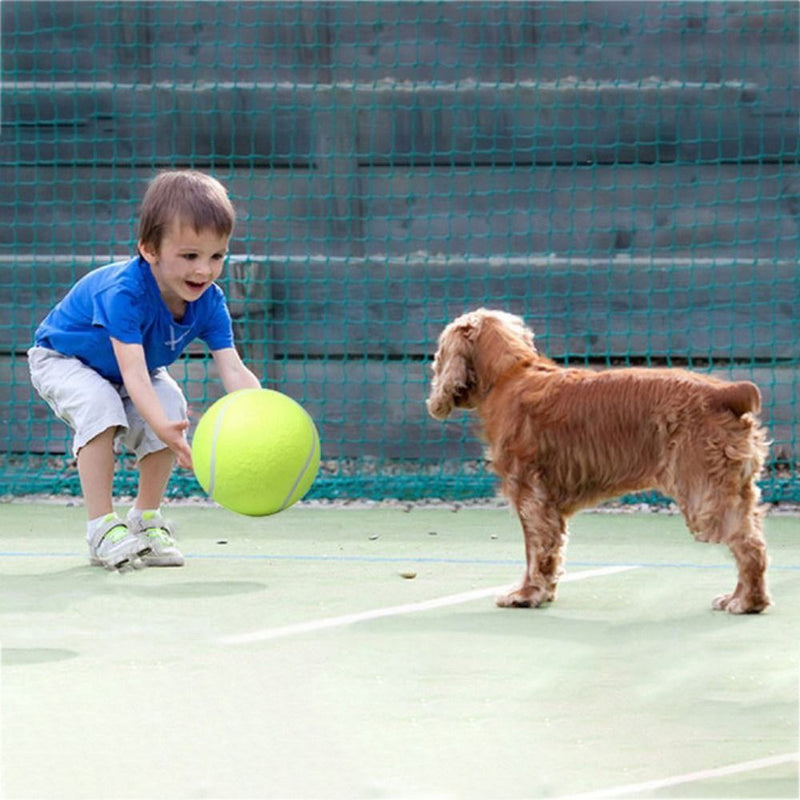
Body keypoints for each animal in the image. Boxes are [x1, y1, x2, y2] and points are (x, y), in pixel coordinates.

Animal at [424, 306, 768, 612]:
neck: (511, 374)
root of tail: (725, 393)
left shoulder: (530, 496)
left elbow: (534, 550)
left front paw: (525, 594)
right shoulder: (548, 504)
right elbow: (551, 551)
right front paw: (544, 592)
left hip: (703, 493)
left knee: (748, 545)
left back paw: (746, 603)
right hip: (734, 488)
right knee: (753, 540)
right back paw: (741, 598)